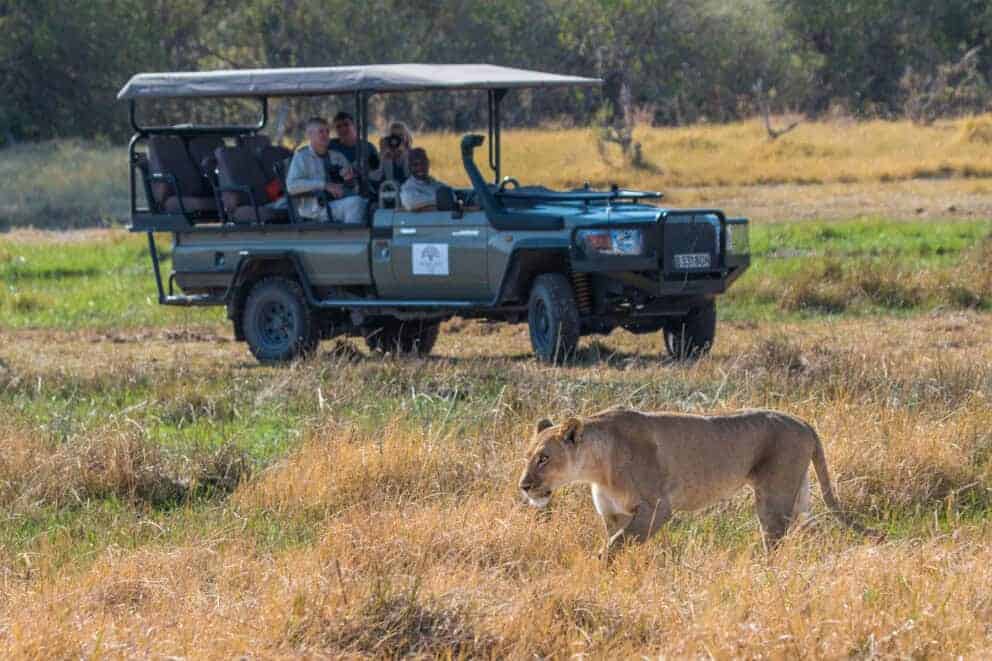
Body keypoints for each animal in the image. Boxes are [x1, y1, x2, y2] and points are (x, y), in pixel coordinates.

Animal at [518, 407, 876, 557]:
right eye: (527, 455)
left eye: (544, 458)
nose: (523, 486)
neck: (596, 468)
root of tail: (803, 421)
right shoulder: (614, 514)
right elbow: (620, 542)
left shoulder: (658, 508)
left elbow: (618, 544)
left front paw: (599, 567)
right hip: (797, 492)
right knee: (810, 528)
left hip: (773, 496)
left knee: (774, 537)